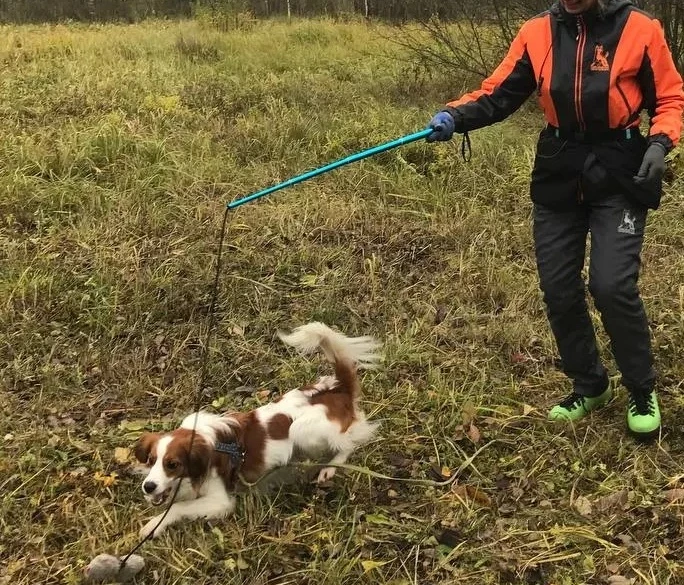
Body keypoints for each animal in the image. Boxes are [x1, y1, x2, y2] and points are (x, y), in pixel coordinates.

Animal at [131, 322, 382, 536]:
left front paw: (153, 526)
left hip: (301, 430)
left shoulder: (221, 500)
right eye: (151, 460)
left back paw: (330, 467)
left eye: (172, 464)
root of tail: (338, 389)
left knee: (350, 443)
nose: (148, 487)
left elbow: (176, 508)